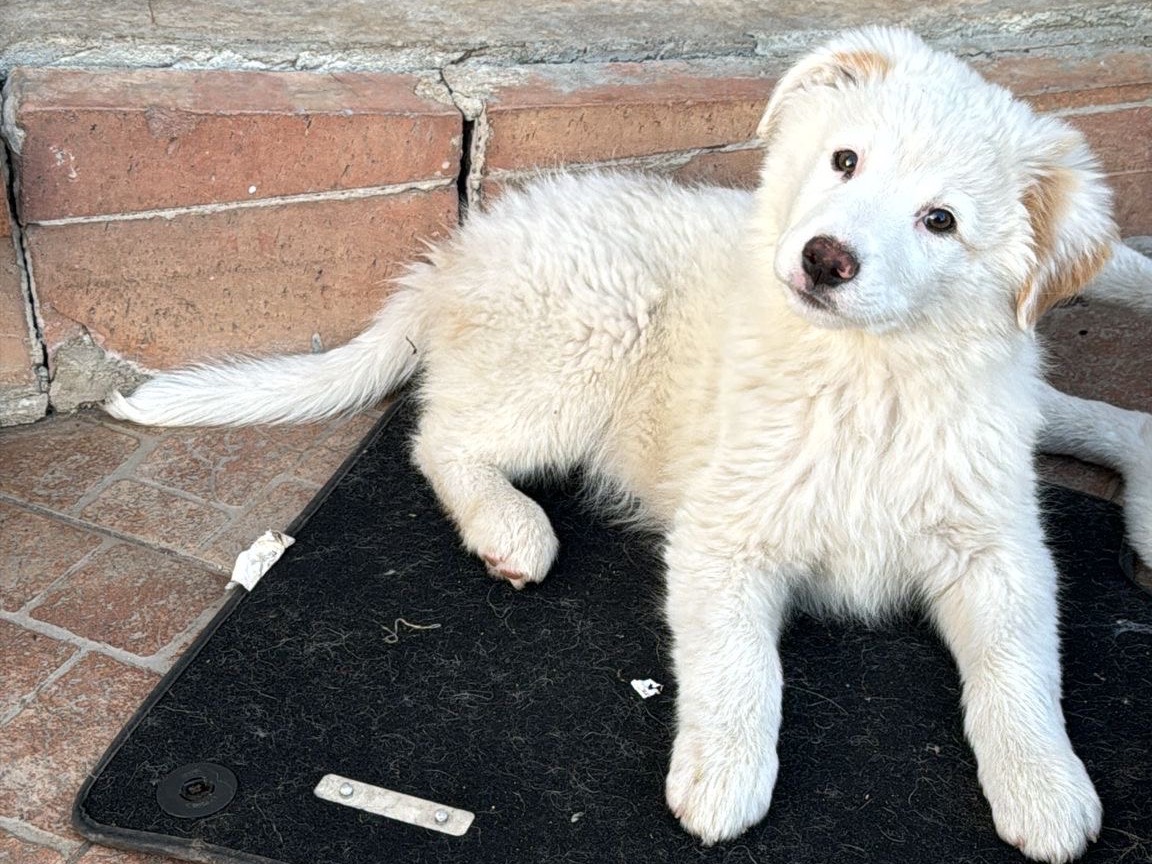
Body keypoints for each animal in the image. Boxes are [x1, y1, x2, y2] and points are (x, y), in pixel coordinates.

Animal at [108, 27, 1152, 864]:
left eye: (941, 221)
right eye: (845, 160)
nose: (823, 259)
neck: (868, 379)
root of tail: (459, 255)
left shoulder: (999, 548)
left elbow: (1021, 668)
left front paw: (1046, 787)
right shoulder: (725, 536)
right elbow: (741, 668)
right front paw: (724, 777)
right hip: (587, 338)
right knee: (438, 434)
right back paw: (510, 527)